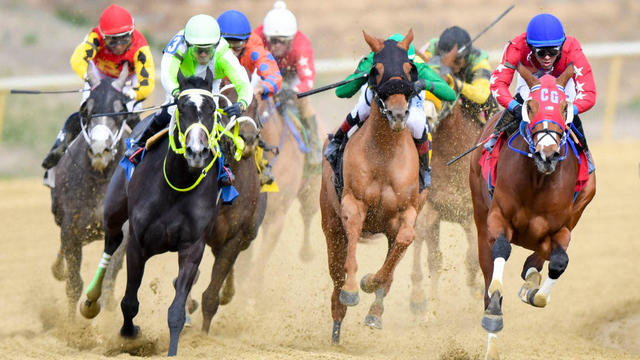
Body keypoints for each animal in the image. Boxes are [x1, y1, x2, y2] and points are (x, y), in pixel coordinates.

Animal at [50, 67, 131, 316]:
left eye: (121, 110)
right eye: (87, 110)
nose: (99, 148)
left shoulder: (122, 230)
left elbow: (109, 279)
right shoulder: (71, 229)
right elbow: (74, 284)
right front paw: (72, 324)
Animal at [320, 29, 430, 344]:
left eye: (409, 68)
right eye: (375, 70)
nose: (397, 113)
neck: (384, 154)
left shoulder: (407, 213)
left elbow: (403, 242)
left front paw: (370, 284)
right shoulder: (352, 203)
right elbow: (353, 237)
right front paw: (352, 290)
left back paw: (374, 313)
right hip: (330, 225)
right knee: (336, 272)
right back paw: (337, 321)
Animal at [468, 65, 596, 360]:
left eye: (564, 107)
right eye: (530, 106)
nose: (547, 154)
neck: (538, 179)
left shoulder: (561, 228)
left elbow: (558, 263)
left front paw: (532, 291)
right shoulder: (498, 218)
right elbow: (500, 252)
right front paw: (494, 314)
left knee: (542, 256)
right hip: (480, 217)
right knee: (488, 265)